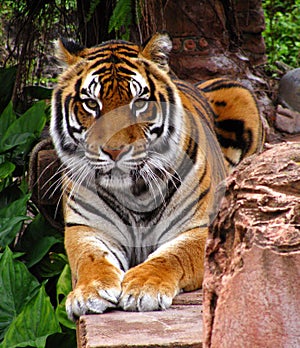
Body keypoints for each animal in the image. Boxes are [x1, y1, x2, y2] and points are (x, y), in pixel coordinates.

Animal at [50, 32, 264, 320]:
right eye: (91, 104)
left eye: (139, 103)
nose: (115, 150)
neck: (133, 192)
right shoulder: (87, 227)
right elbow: (90, 258)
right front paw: (90, 292)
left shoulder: (200, 229)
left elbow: (172, 256)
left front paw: (143, 286)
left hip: (240, 93)